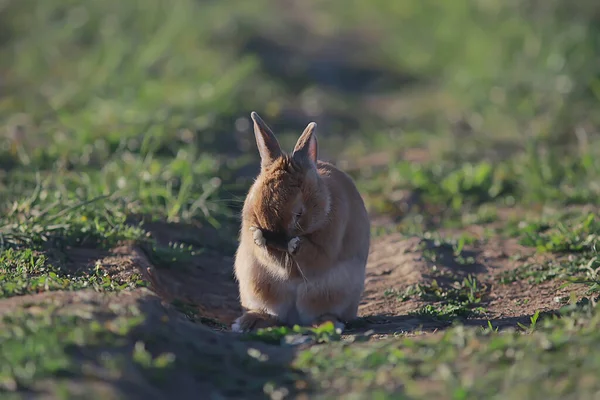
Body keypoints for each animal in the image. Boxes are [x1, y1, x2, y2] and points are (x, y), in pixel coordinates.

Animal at [231, 111, 368, 332]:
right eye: (256, 205)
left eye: (299, 213)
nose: (274, 238)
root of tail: (294, 319)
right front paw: (259, 239)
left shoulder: (327, 247)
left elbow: (312, 257)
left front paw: (294, 246)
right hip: (256, 287)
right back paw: (249, 322)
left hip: (334, 293)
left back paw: (326, 324)